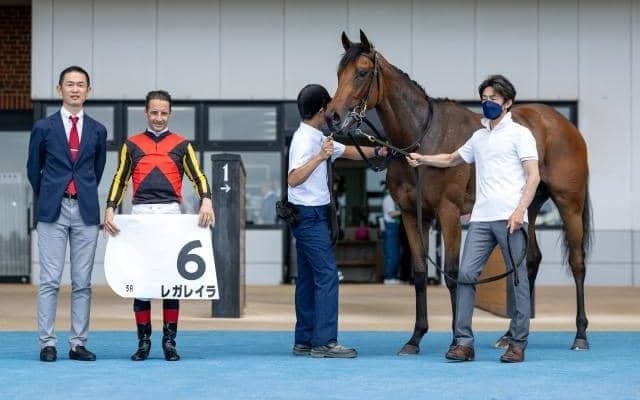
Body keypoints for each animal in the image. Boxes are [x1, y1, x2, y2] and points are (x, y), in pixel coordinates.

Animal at [325, 30, 592, 355]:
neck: (422, 136)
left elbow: (452, 273)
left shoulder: (448, 213)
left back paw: (580, 334)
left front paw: (457, 337)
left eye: (362, 73)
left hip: (570, 204)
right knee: (529, 261)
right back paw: (509, 334)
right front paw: (415, 338)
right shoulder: (412, 215)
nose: (333, 116)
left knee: (577, 264)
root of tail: (564, 125)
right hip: (526, 207)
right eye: (339, 73)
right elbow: (418, 273)